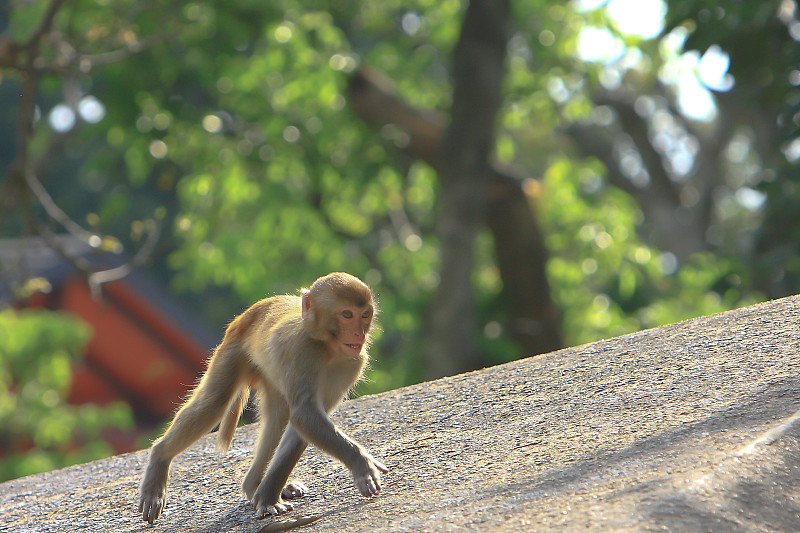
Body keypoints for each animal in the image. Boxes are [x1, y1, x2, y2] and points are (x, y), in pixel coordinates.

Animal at [139, 272, 390, 520]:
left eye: (365, 315)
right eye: (347, 315)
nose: (359, 332)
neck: (326, 347)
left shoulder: (352, 362)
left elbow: (302, 424)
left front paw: (268, 497)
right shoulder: (301, 350)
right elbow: (304, 414)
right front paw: (362, 465)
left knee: (277, 418)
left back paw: (254, 486)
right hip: (232, 351)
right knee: (215, 403)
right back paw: (160, 459)